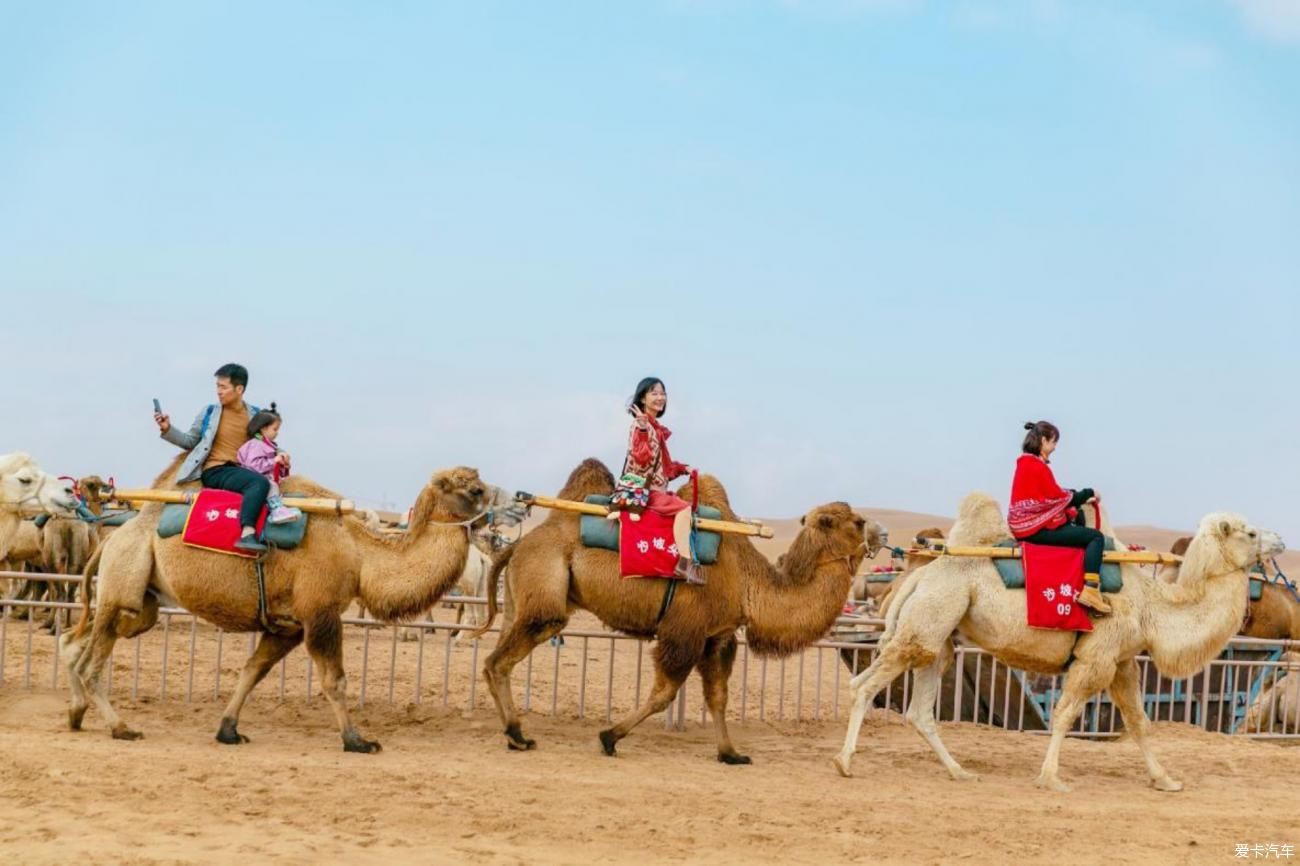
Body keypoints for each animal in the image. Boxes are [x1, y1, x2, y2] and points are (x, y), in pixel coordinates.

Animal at [61, 457, 488, 748]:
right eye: (474, 490)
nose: (496, 514)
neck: (359, 554)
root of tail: (111, 539)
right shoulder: (320, 614)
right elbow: (335, 680)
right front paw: (357, 740)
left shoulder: (288, 626)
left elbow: (252, 671)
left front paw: (228, 730)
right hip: (124, 579)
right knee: (92, 661)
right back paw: (120, 727)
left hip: (141, 602)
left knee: (77, 641)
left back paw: (76, 712)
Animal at [473, 455, 878, 759]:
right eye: (856, 522)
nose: (879, 533)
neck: (748, 580)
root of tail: (516, 545)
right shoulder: (684, 630)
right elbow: (664, 693)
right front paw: (609, 737)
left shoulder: (718, 636)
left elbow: (718, 697)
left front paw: (731, 753)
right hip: (544, 593)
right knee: (502, 659)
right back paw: (516, 734)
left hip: (521, 598)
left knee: (496, 658)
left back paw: (515, 734)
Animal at [837, 491, 1284, 790]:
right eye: (1249, 532)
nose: (1280, 540)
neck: (1152, 606)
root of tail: (918, 576)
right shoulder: (1096, 657)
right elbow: (1066, 713)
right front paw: (1051, 778)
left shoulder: (1122, 662)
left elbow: (1138, 721)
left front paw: (1165, 780)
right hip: (929, 618)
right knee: (863, 687)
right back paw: (845, 761)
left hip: (939, 635)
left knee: (919, 708)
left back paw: (959, 771)